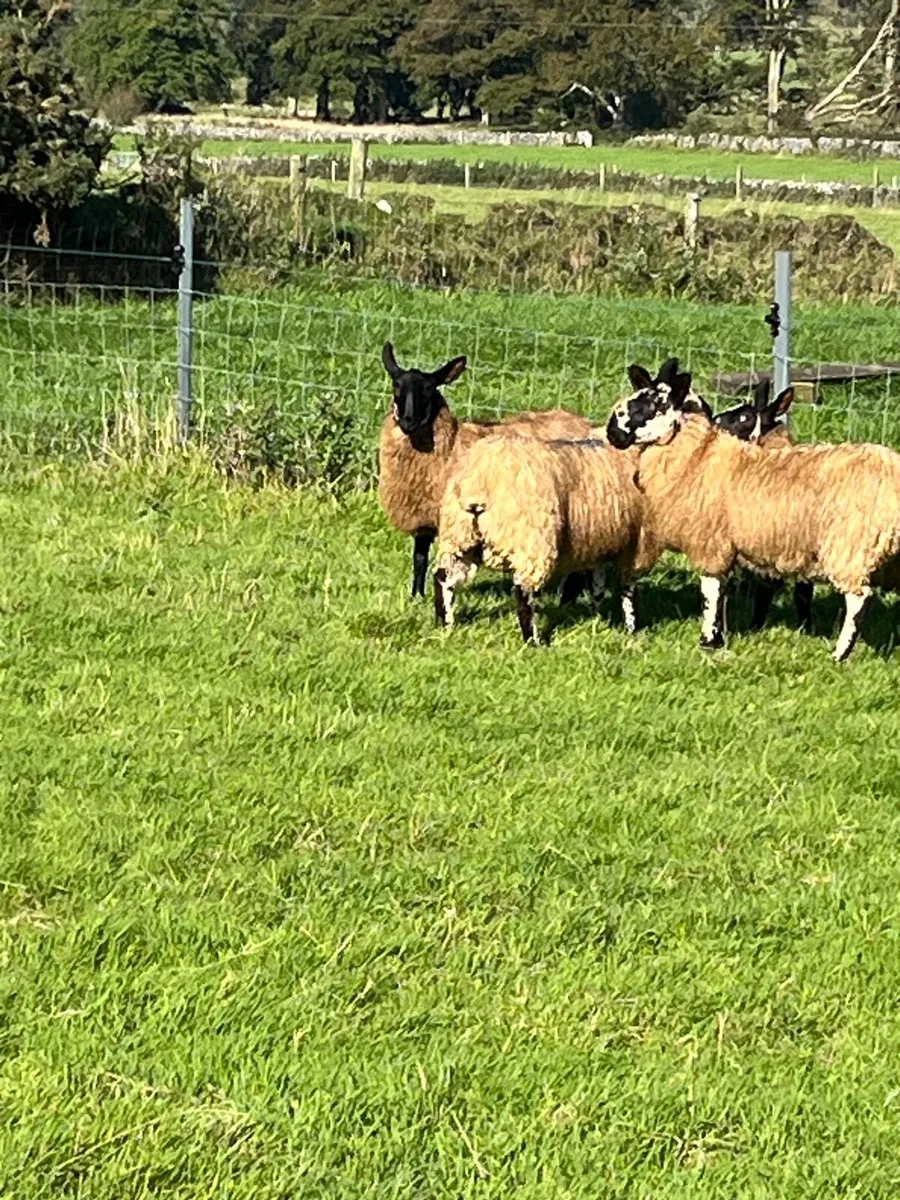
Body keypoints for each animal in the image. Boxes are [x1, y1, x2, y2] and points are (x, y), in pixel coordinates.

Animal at [378, 342, 594, 598]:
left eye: (429, 389)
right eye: (396, 384)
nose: (408, 422)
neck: (450, 446)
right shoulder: (423, 514)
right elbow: (419, 558)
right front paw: (416, 596)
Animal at [434, 359, 694, 644]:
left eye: (655, 404)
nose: (616, 434)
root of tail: (483, 478)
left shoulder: (600, 539)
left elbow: (597, 584)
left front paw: (596, 618)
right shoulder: (636, 543)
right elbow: (628, 591)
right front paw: (631, 629)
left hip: (459, 533)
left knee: (443, 578)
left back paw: (445, 626)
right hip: (531, 540)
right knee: (523, 592)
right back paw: (533, 641)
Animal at [606, 378, 900, 662]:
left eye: (653, 403)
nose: (612, 432)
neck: (697, 458)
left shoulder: (712, 541)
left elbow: (711, 591)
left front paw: (708, 641)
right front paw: (727, 635)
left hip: (850, 545)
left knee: (859, 598)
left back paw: (839, 655)